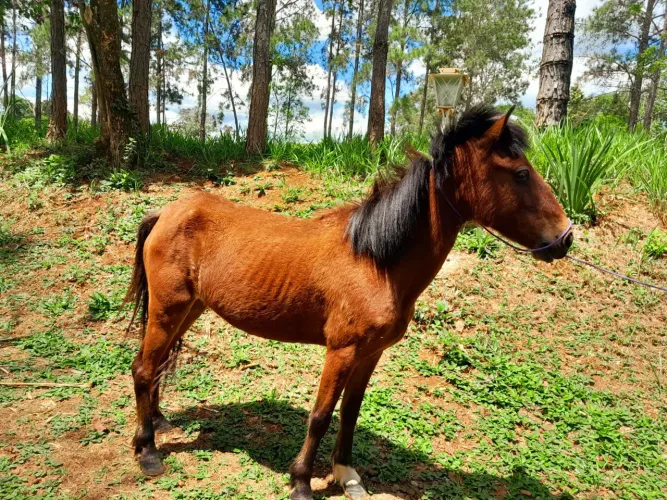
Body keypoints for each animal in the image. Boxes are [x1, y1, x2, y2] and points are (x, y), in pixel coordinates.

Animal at [124, 105, 573, 500]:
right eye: (520, 173)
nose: (566, 238)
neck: (375, 261)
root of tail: (167, 211)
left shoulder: (370, 354)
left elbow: (351, 413)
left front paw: (346, 475)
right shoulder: (341, 351)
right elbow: (321, 416)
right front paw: (302, 482)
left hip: (189, 309)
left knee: (157, 362)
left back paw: (160, 424)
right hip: (168, 308)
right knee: (144, 367)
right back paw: (147, 452)